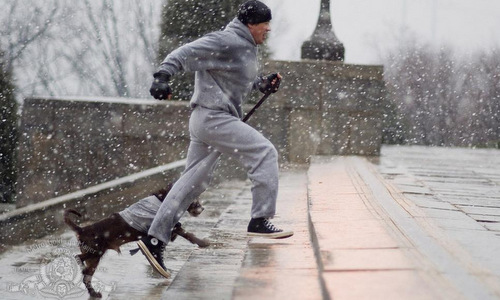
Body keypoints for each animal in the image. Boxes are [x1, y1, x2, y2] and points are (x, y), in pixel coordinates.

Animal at [64, 188, 207, 298]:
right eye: (194, 199)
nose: (203, 208)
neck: (164, 199)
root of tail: (82, 229)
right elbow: (187, 234)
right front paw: (203, 243)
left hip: (93, 258)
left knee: (86, 276)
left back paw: (94, 293)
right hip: (95, 252)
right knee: (78, 259)